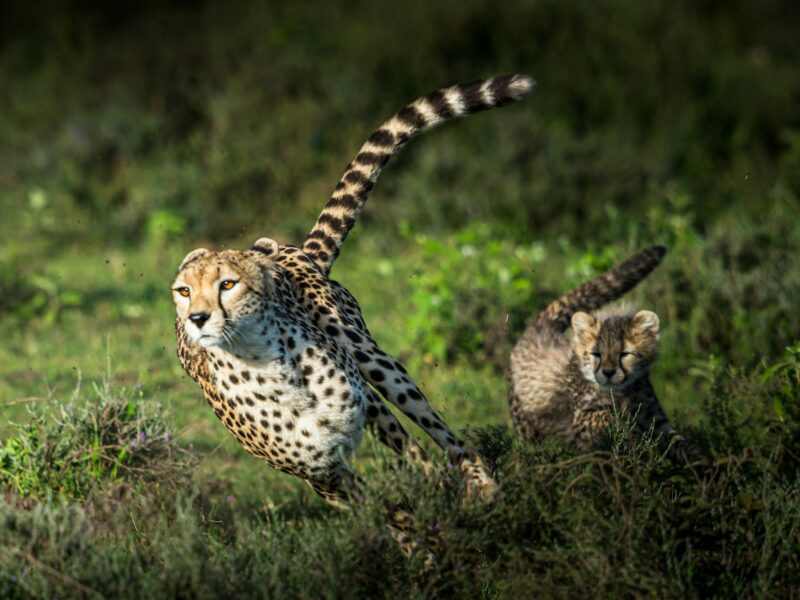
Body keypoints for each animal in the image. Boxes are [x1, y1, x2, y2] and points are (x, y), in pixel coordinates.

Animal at [173, 75, 534, 532]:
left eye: (228, 284)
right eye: (183, 291)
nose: (197, 318)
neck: (267, 367)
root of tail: (292, 250)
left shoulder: (366, 409)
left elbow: (416, 463)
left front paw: (440, 508)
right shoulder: (321, 475)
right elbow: (384, 511)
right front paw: (418, 536)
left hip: (371, 359)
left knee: (442, 434)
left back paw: (479, 483)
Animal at [508, 246, 705, 466]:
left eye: (624, 353)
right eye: (596, 353)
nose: (608, 373)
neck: (620, 392)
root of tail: (540, 326)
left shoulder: (653, 417)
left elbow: (680, 442)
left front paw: (704, 465)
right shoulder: (580, 419)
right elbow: (608, 416)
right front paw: (631, 436)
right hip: (528, 428)